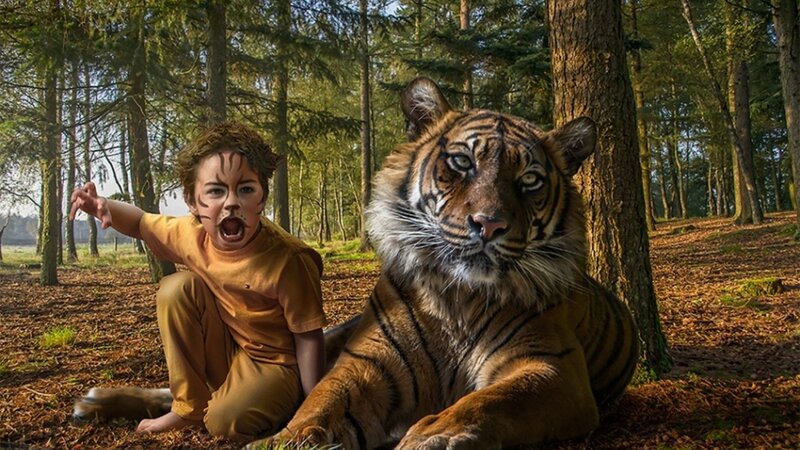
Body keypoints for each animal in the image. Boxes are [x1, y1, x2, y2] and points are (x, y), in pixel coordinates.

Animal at [245, 77, 639, 449]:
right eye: (462, 162)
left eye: (529, 180)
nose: (489, 224)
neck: (458, 297)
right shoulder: (366, 361)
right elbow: (322, 401)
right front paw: (281, 439)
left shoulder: (553, 366)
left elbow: (493, 399)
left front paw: (433, 434)